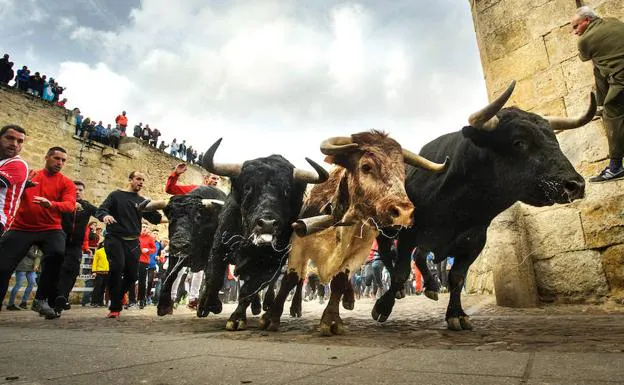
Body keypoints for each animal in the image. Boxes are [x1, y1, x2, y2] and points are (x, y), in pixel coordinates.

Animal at [197, 138, 330, 330]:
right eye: (248, 187)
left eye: (286, 190)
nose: (267, 224)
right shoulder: (219, 246)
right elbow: (213, 276)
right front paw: (208, 304)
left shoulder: (271, 263)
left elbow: (250, 288)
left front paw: (236, 318)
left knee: (296, 280)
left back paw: (289, 307)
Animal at [258, 130, 448, 334]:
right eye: (366, 166)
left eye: (403, 172)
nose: (404, 212)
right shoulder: (299, 242)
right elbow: (291, 279)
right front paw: (271, 317)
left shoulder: (360, 251)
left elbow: (340, 280)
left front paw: (331, 320)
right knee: (300, 279)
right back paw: (294, 307)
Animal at [370, 81, 596, 330]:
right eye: (519, 142)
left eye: (555, 141)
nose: (575, 185)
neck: (459, 208)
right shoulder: (409, 233)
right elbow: (400, 271)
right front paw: (382, 307)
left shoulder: (475, 240)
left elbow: (457, 277)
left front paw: (457, 315)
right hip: (385, 232)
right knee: (388, 256)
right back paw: (400, 292)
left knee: (420, 257)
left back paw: (431, 287)